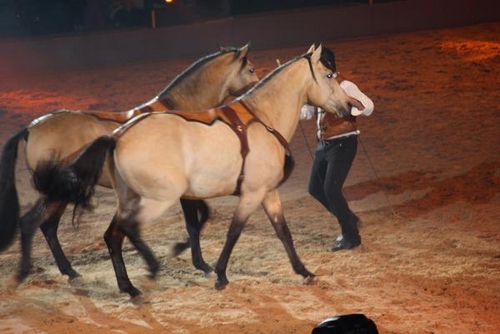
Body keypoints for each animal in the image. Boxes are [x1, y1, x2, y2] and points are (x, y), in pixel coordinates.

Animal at [0, 43, 258, 284]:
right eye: (251, 69)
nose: (258, 85)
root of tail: (32, 127)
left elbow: (202, 217)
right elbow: (195, 223)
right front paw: (198, 262)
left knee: (46, 226)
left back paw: (67, 271)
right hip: (59, 192)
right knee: (34, 223)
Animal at [35, 45, 364, 298]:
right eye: (329, 75)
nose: (349, 106)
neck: (262, 118)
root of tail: (118, 135)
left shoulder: (267, 192)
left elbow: (283, 232)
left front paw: (304, 271)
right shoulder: (250, 193)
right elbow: (233, 231)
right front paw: (219, 274)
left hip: (129, 199)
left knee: (112, 235)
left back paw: (128, 287)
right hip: (156, 200)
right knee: (123, 229)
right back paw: (147, 271)